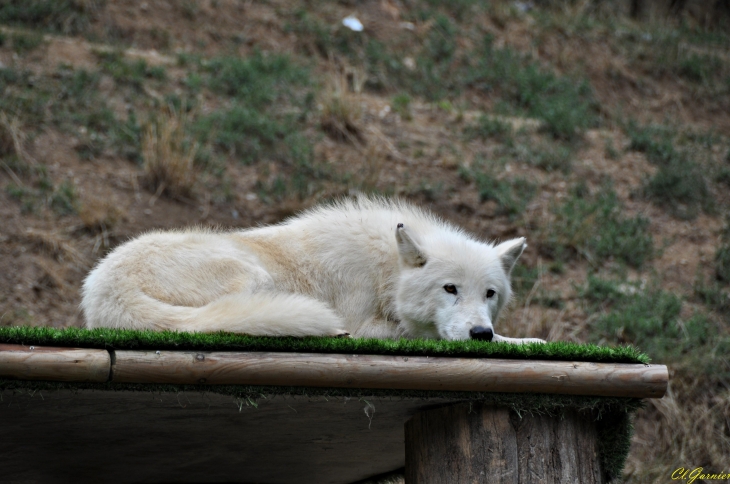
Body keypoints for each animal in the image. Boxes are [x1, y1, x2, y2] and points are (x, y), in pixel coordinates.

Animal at [82, 198, 544, 344]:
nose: (479, 333)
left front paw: (522, 340)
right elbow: (418, 333)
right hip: (254, 277)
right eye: (450, 289)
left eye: (490, 294)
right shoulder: (366, 323)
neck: (385, 270)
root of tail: (103, 289)